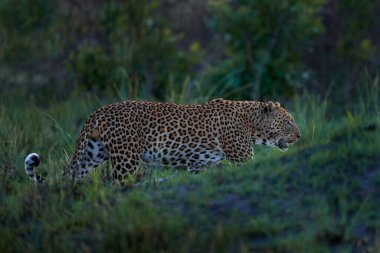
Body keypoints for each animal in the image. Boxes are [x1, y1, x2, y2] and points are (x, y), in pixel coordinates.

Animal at [25, 98, 302, 183]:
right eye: (288, 121)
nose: (299, 135)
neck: (250, 120)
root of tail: (99, 111)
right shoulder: (242, 157)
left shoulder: (199, 165)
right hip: (126, 159)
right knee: (118, 183)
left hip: (92, 153)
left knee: (72, 177)